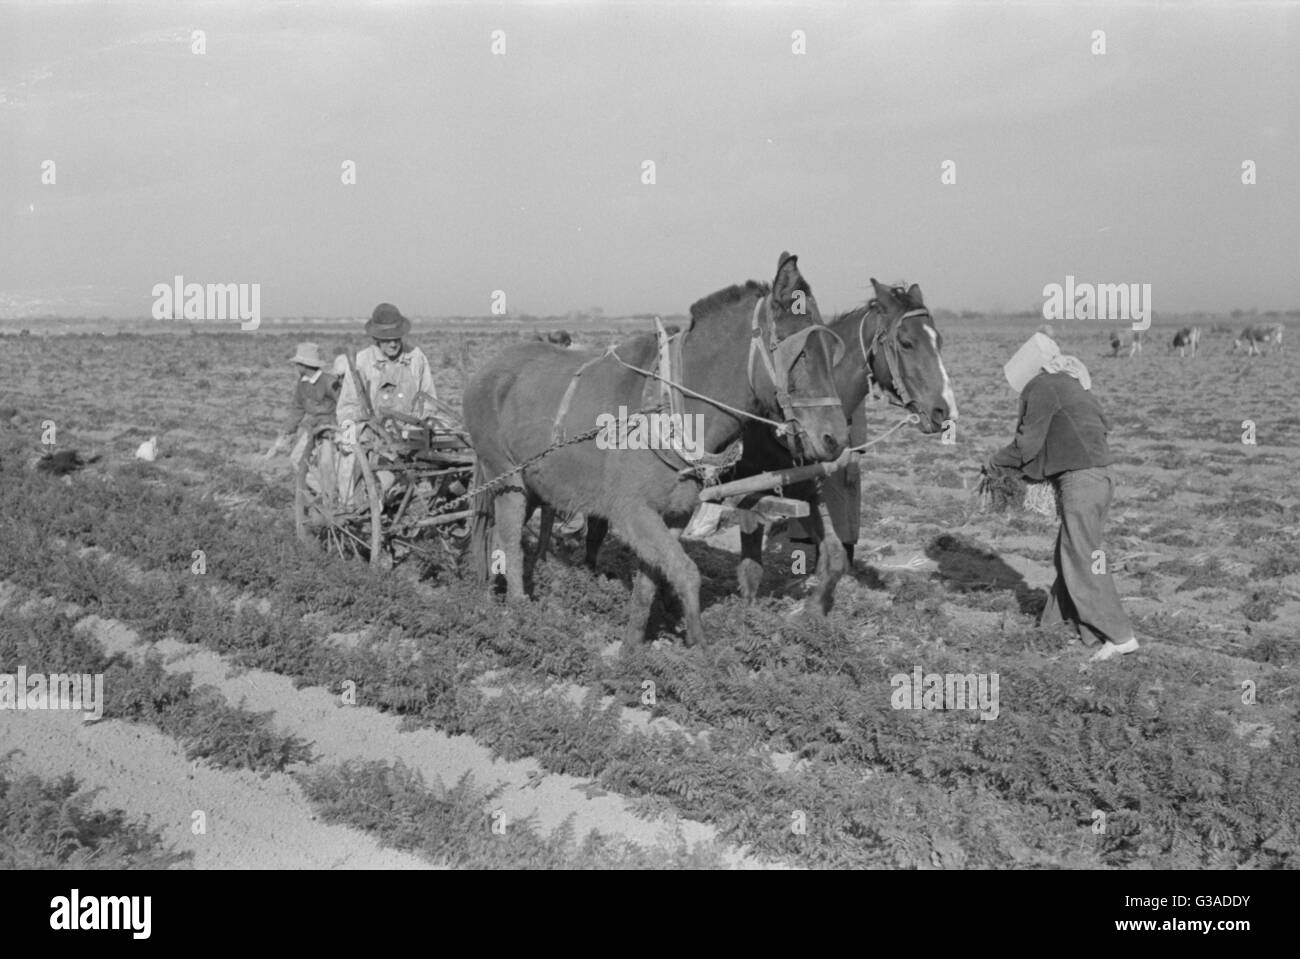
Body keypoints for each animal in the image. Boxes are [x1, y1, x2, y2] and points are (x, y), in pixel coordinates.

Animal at [467, 250, 852, 647]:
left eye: (831, 351)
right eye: (799, 352)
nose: (835, 439)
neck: (670, 408)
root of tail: (489, 369)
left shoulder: (672, 514)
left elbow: (650, 582)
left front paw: (632, 647)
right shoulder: (631, 511)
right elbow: (686, 573)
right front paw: (699, 648)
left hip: (530, 484)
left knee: (498, 539)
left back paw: (493, 594)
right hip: (506, 477)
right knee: (509, 539)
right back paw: (517, 613)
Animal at [569, 276, 956, 613]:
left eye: (939, 341)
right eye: (906, 343)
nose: (943, 411)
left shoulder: (802, 488)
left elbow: (833, 556)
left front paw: (811, 613)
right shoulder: (749, 494)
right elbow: (752, 566)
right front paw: (748, 615)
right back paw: (591, 574)